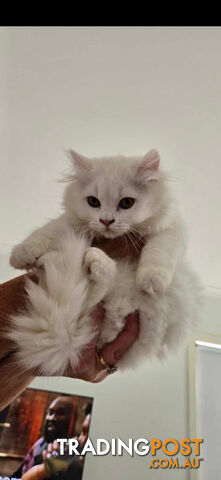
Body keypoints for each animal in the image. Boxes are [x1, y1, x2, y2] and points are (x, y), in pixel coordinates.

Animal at [9, 150, 200, 376]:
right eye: (93, 202)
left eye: (126, 203)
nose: (106, 221)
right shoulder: (70, 222)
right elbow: (48, 231)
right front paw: (20, 255)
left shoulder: (170, 228)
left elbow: (159, 251)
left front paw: (151, 280)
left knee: (97, 299)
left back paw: (85, 259)